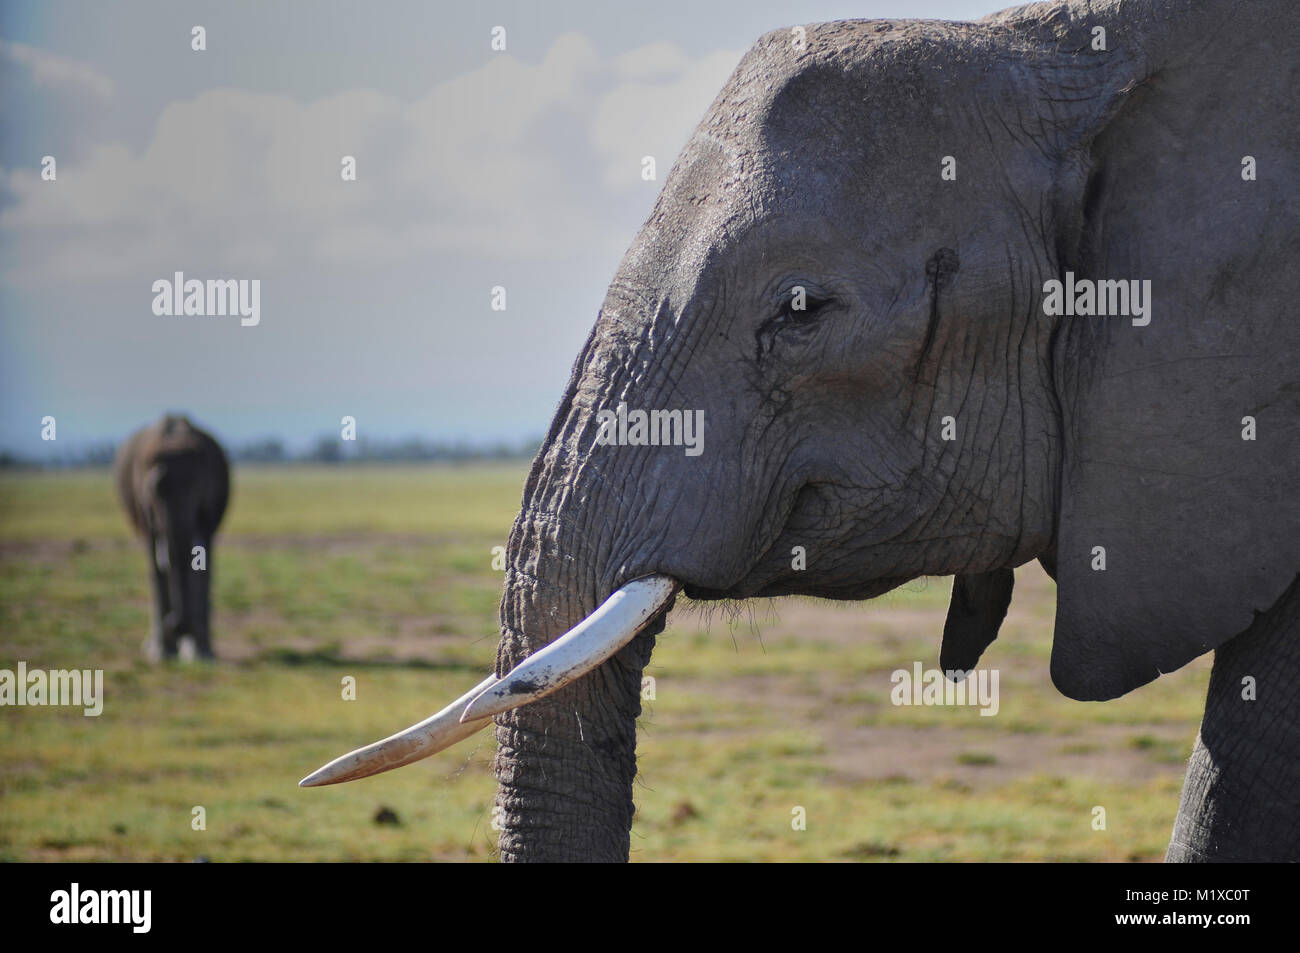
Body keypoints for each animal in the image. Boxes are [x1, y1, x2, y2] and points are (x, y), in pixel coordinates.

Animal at [113, 413, 228, 657]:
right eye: (153, 491)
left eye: (200, 489)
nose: (175, 624)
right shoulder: (144, 507)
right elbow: (156, 564)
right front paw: (160, 654)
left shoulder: (209, 506)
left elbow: (202, 561)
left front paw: (202, 655)